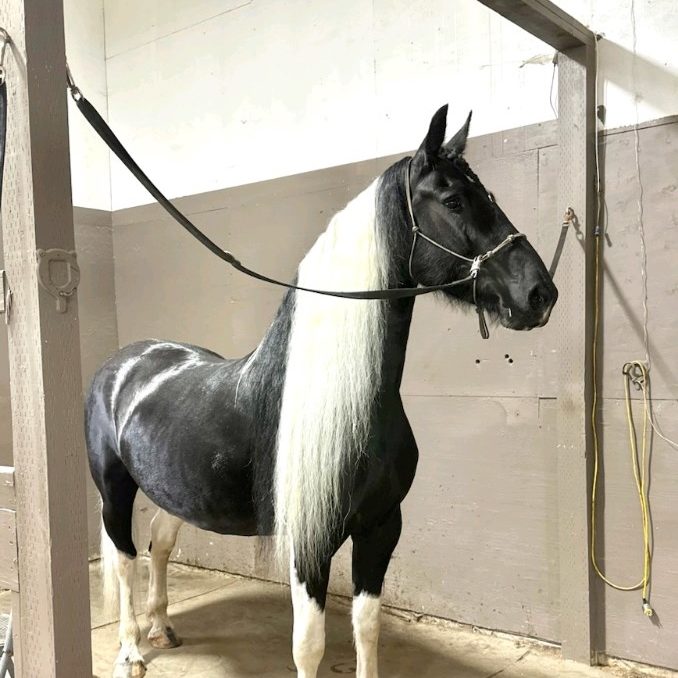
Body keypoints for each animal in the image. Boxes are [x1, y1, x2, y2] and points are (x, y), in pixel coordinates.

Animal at [86, 104, 558, 678]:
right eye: (453, 201)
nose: (540, 293)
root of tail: (125, 362)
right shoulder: (310, 543)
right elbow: (309, 645)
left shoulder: (382, 526)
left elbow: (366, 628)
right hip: (114, 487)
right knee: (124, 556)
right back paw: (131, 650)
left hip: (173, 490)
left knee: (160, 540)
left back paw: (161, 628)